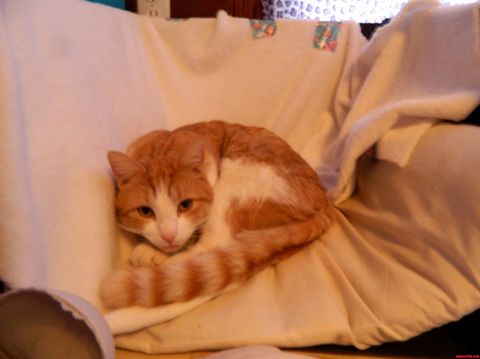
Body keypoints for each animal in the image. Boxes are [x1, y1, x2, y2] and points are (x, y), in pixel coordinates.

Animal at [101, 120, 334, 310]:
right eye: (145, 211)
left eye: (185, 205)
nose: (168, 236)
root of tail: (323, 202)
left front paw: (153, 252)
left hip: (235, 180)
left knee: (211, 248)